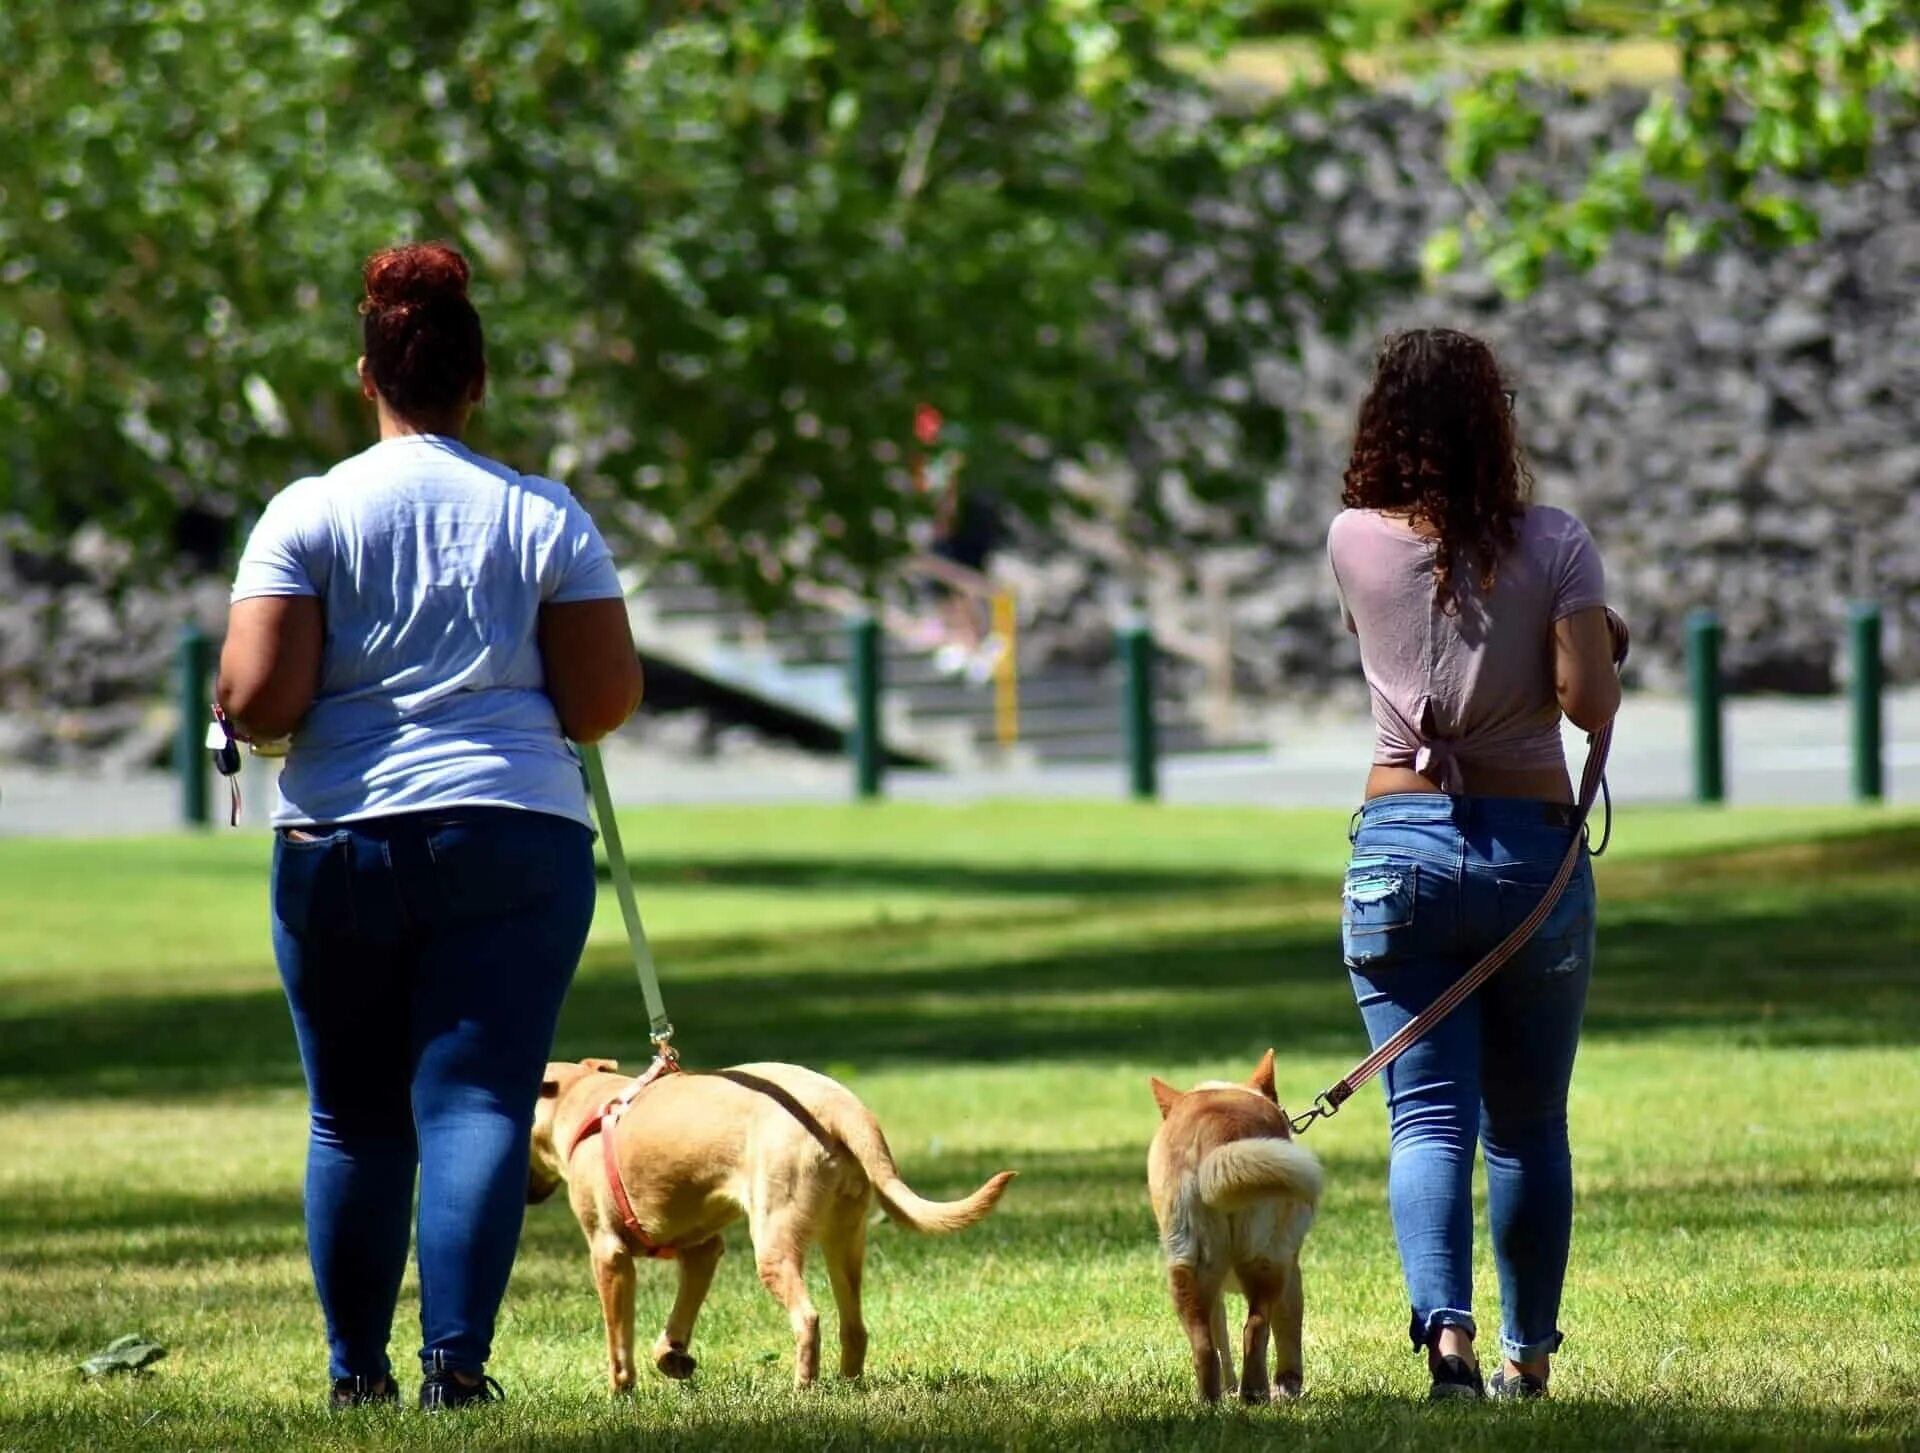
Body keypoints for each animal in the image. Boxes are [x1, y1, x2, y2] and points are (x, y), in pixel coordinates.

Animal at [526, 1059, 1006, 1389]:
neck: (583, 1103)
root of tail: (841, 1106)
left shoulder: (609, 1254)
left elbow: (618, 1341)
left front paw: (621, 1393)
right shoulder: (702, 1250)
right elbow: (676, 1323)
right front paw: (673, 1359)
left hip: (775, 1241)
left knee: (808, 1318)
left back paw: (804, 1387)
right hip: (845, 1237)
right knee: (854, 1327)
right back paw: (848, 1385)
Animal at [1152, 1051, 1320, 1397]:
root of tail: (1216, 1139)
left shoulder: (1213, 1290)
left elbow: (1221, 1341)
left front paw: (1229, 1387)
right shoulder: (1291, 1272)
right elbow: (1288, 1331)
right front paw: (1288, 1385)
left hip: (1187, 1269)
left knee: (1205, 1348)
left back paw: (1212, 1400)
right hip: (1269, 1261)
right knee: (1256, 1329)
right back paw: (1255, 1395)